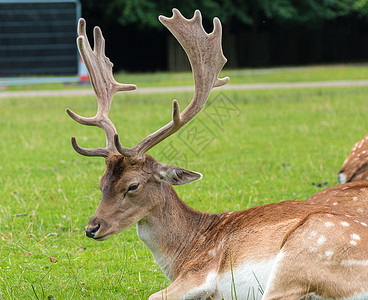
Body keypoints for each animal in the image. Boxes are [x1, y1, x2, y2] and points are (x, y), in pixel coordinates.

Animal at [67, 9, 368, 300]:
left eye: (133, 186)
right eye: (102, 183)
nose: (91, 228)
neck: (185, 250)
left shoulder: (200, 272)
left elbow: (154, 296)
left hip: (301, 256)